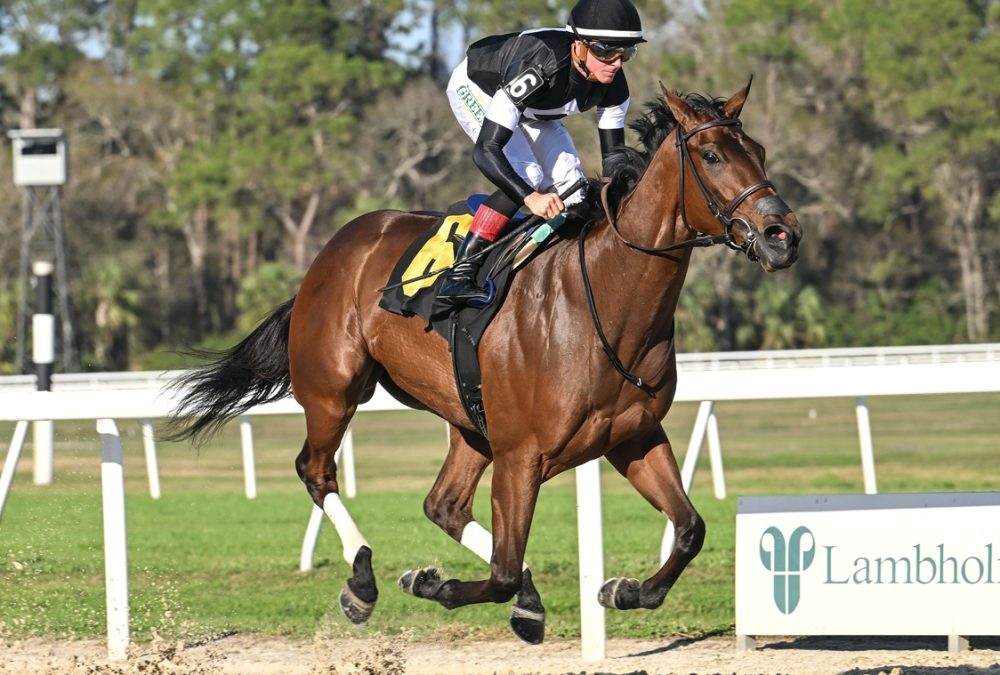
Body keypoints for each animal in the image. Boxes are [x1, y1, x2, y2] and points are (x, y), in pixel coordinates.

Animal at [168, 80, 800, 644]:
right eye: (711, 155)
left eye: (760, 152)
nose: (782, 234)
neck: (605, 297)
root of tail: (330, 252)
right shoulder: (521, 454)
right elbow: (500, 571)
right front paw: (433, 584)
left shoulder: (632, 437)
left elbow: (689, 528)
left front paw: (622, 590)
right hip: (334, 390)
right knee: (317, 471)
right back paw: (364, 581)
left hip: (468, 422)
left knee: (443, 504)